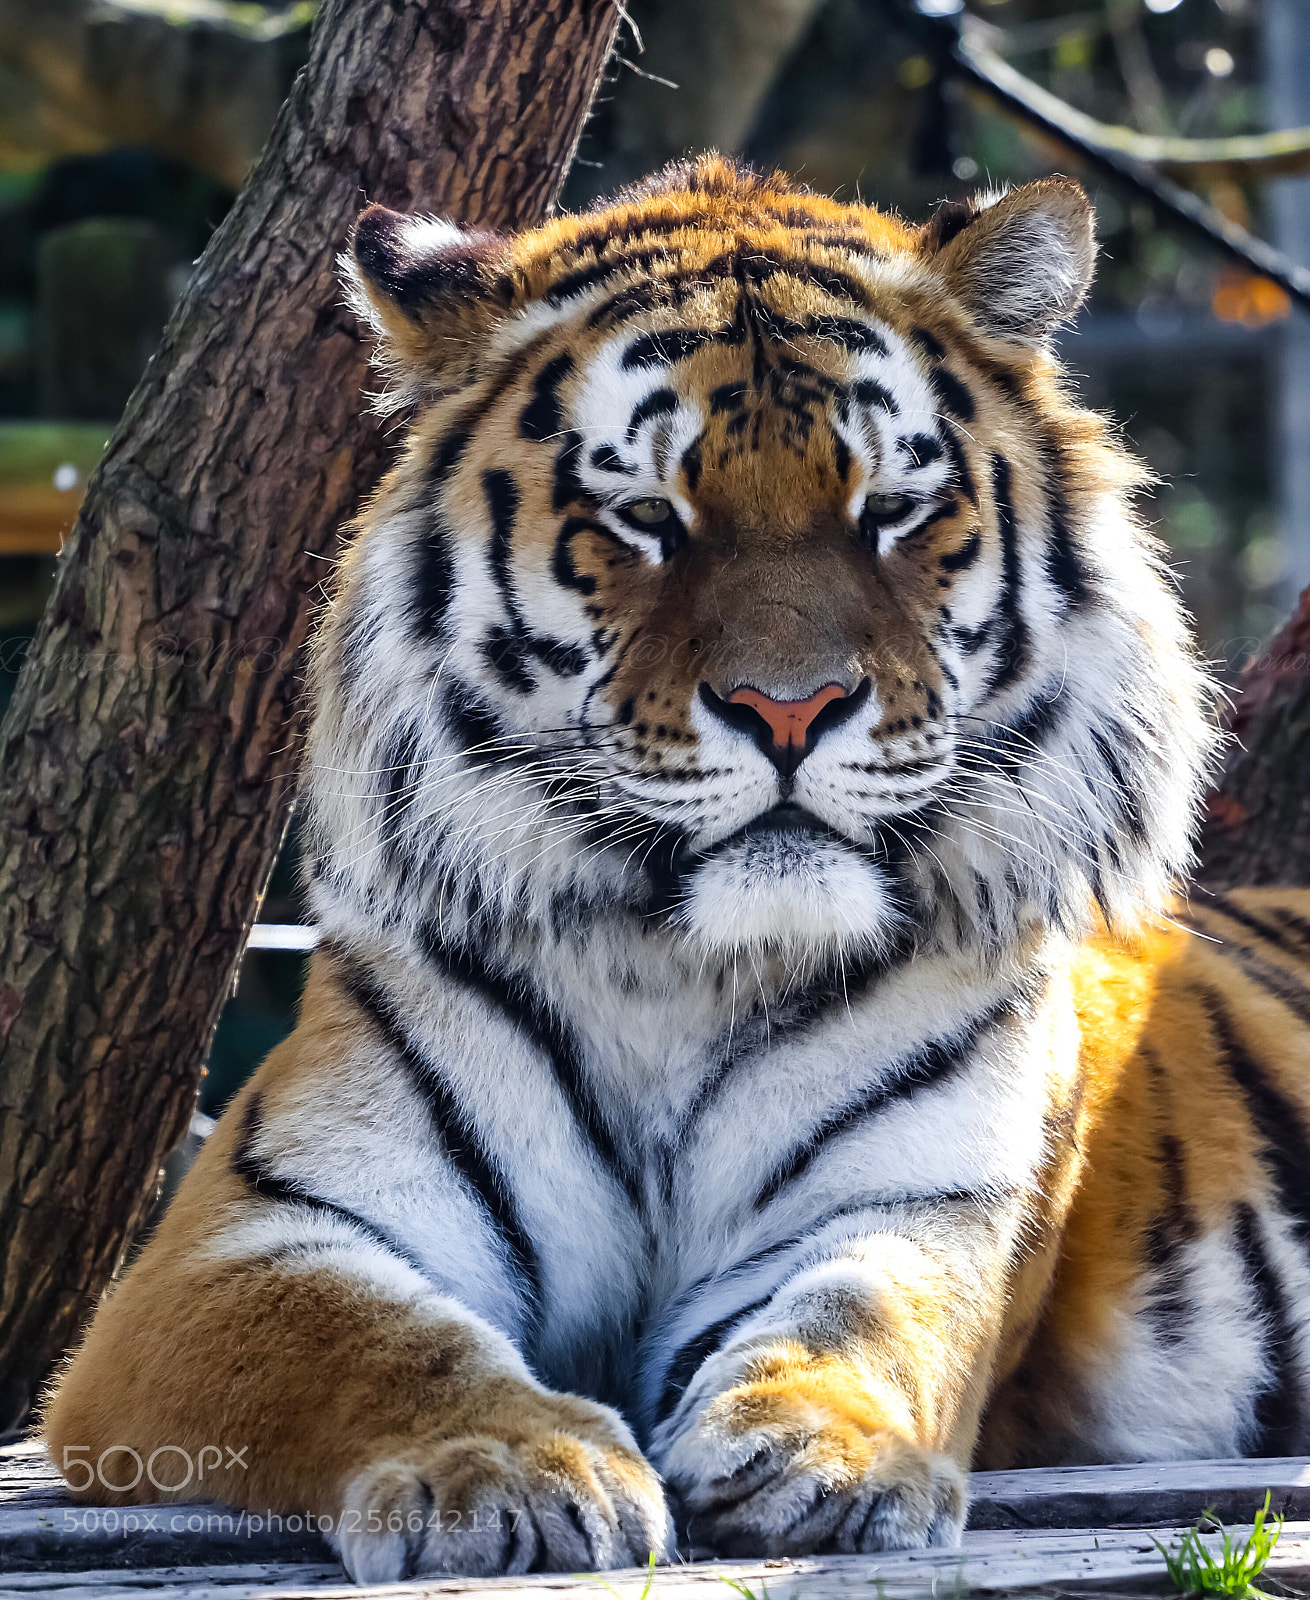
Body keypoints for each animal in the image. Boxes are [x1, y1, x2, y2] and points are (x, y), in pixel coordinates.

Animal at [44, 156, 1310, 1584]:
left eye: (889, 511)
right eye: (646, 517)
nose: (789, 708)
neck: (684, 967)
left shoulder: (925, 1200)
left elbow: (871, 1312)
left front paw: (827, 1451)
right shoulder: (238, 1236)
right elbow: (368, 1340)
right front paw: (510, 1464)